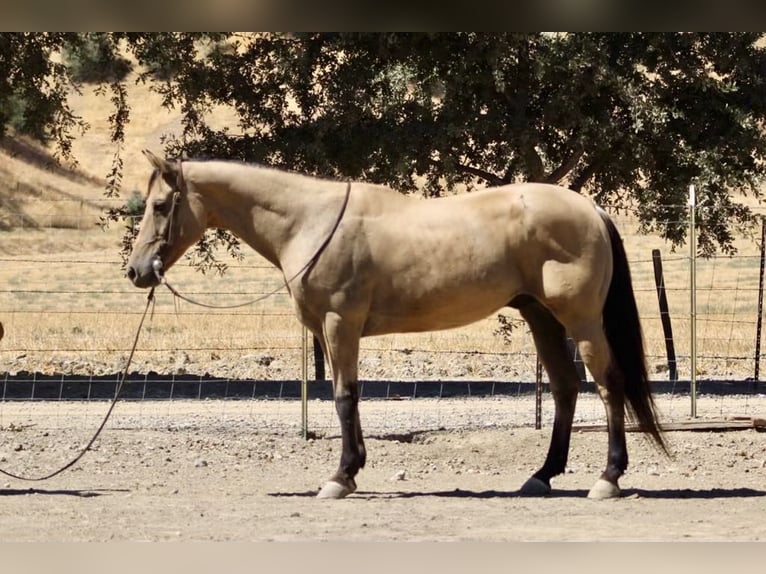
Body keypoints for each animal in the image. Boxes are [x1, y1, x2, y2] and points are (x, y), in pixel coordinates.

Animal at [127, 150, 667, 500]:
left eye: (159, 206)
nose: (136, 272)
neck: (311, 222)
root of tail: (589, 207)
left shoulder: (339, 324)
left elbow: (344, 397)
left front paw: (340, 477)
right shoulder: (334, 332)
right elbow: (348, 397)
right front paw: (352, 469)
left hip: (580, 320)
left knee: (609, 384)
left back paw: (608, 478)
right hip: (542, 318)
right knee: (565, 388)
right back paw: (542, 475)